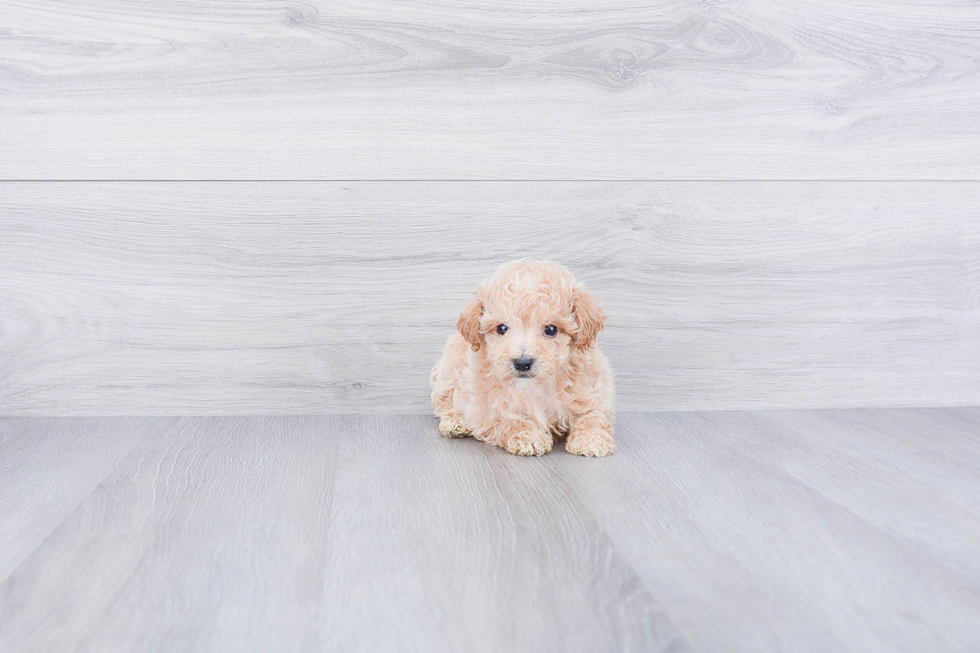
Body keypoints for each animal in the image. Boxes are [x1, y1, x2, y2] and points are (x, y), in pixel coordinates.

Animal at [428, 258, 612, 456]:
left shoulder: (593, 391)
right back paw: (455, 422)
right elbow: (509, 420)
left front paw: (591, 439)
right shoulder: (484, 411)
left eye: (551, 329)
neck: (533, 386)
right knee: (445, 401)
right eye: (501, 328)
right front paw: (529, 437)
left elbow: (593, 414)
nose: (522, 363)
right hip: (449, 371)